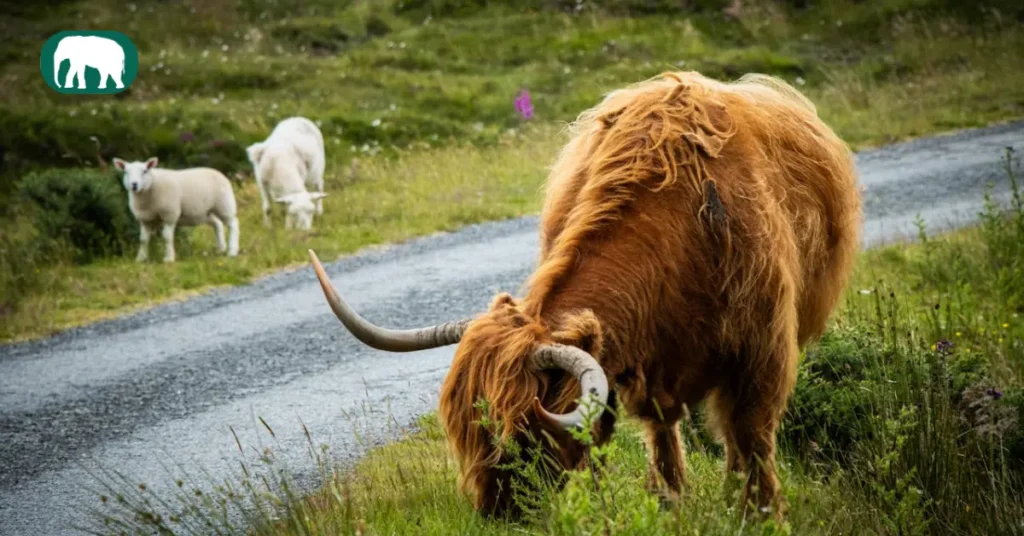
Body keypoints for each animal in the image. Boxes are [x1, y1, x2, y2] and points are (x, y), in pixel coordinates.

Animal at [307, 70, 862, 519]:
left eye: (523, 434)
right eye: (466, 431)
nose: (499, 512)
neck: (680, 231)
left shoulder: (762, 353)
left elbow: (751, 437)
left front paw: (762, 514)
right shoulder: (644, 370)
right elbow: (658, 434)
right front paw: (667, 505)